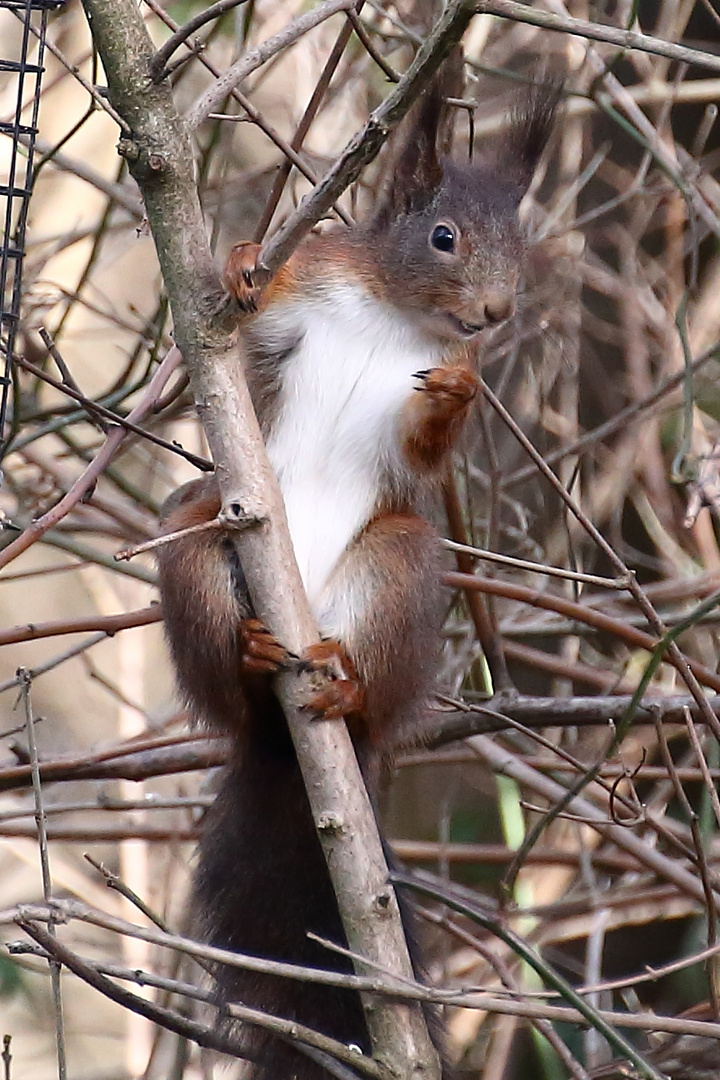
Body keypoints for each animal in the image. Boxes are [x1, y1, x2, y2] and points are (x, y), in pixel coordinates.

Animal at [157, 73, 561, 1080]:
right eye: (444, 236)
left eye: (521, 244)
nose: (497, 312)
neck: (397, 314)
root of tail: (281, 738)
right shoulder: (312, 286)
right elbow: (218, 356)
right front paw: (240, 262)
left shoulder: (442, 382)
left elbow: (427, 449)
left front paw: (453, 402)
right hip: (195, 543)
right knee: (218, 645)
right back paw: (250, 654)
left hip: (401, 565)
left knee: (376, 661)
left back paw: (345, 688)